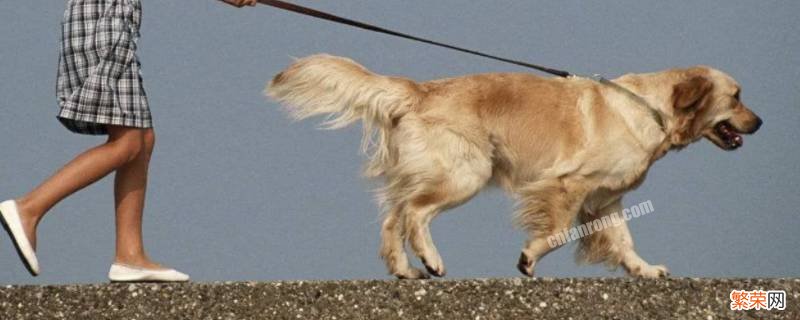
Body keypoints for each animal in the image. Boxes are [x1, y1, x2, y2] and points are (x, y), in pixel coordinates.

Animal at [266, 53, 760, 278]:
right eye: (736, 97)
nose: (759, 122)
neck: (652, 109)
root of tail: (420, 90)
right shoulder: (568, 184)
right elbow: (557, 232)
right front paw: (529, 258)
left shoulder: (606, 199)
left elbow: (623, 240)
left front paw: (645, 269)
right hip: (467, 172)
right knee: (415, 214)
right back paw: (431, 259)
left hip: (431, 172)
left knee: (394, 215)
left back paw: (405, 269)